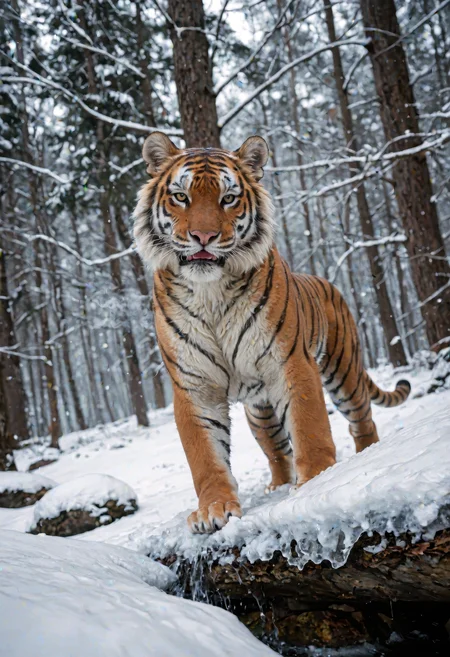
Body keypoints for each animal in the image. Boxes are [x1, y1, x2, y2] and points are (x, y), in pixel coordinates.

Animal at [133, 132, 411, 534]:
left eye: (228, 198)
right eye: (181, 196)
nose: (203, 236)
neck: (210, 291)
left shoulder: (291, 362)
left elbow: (310, 428)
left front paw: (317, 480)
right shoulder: (194, 386)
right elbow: (205, 456)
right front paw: (213, 509)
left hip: (344, 374)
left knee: (363, 422)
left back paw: (365, 454)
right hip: (260, 412)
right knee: (277, 451)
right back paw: (277, 485)